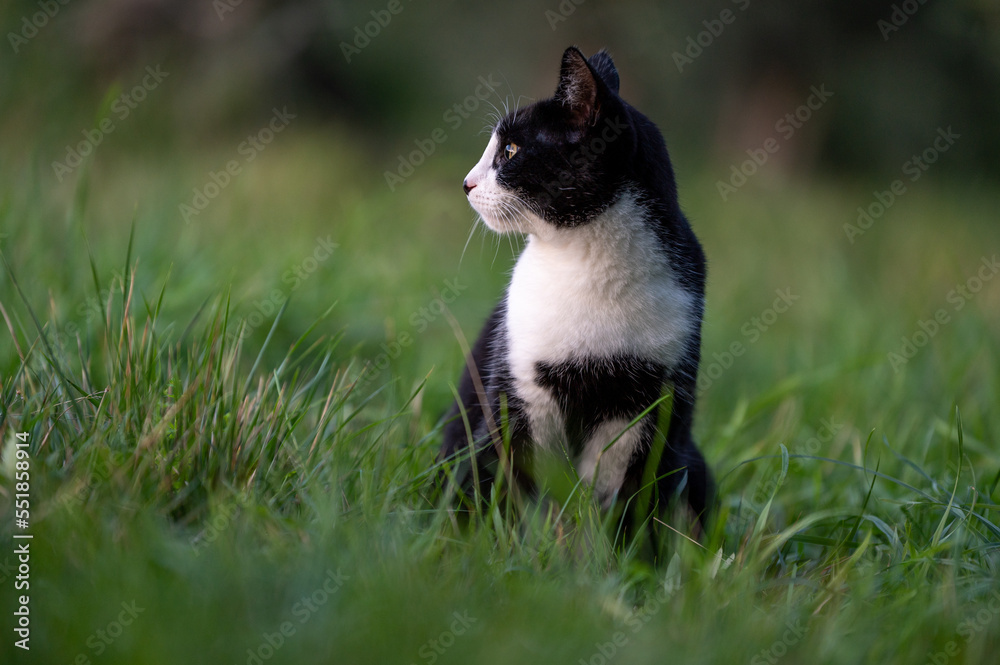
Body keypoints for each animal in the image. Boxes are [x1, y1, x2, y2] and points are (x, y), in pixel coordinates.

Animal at [440, 46, 712, 532]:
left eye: (510, 150)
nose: (467, 183)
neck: (586, 266)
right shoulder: (521, 385)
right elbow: (517, 480)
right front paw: (510, 542)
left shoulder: (650, 401)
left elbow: (626, 496)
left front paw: (621, 551)